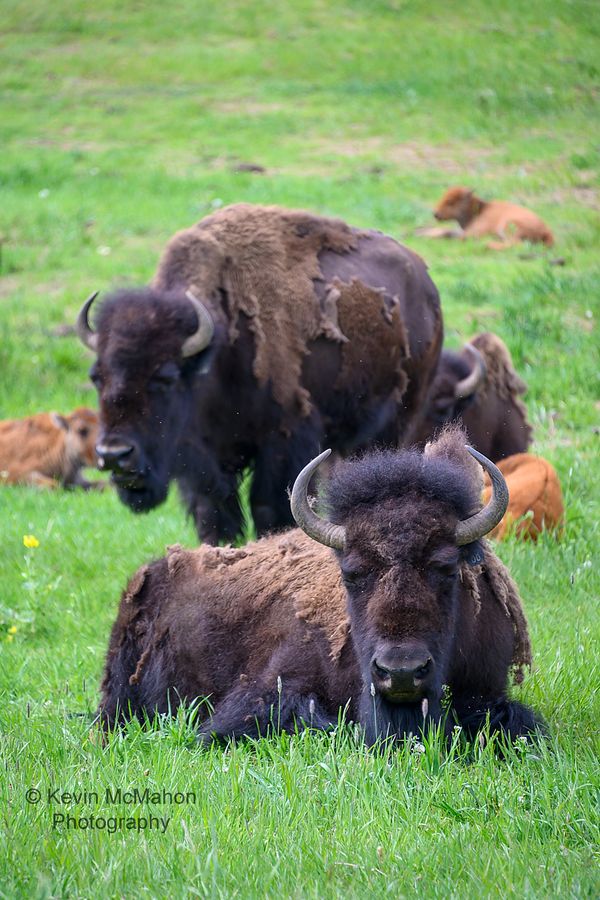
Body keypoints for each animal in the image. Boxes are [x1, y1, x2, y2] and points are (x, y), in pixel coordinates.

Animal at [76, 204, 440, 540]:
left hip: (397, 419)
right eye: (96, 377)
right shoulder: (205, 462)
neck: (216, 353)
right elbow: (213, 514)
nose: (114, 455)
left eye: (165, 378)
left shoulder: (282, 442)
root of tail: (426, 283)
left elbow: (270, 510)